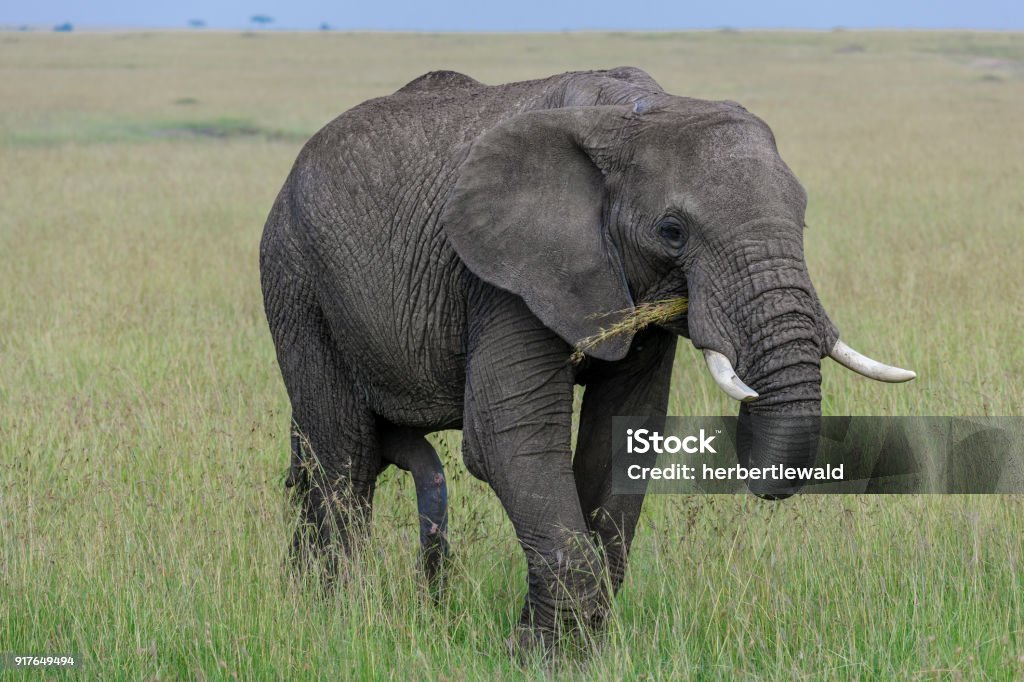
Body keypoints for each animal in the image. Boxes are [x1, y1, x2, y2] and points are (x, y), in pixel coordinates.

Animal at [260, 66, 917, 651]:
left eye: (803, 219)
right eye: (672, 231)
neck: (635, 113)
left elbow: (622, 437)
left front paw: (578, 647)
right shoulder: (505, 273)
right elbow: (509, 439)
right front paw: (538, 655)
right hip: (296, 278)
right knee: (343, 452)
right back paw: (331, 615)